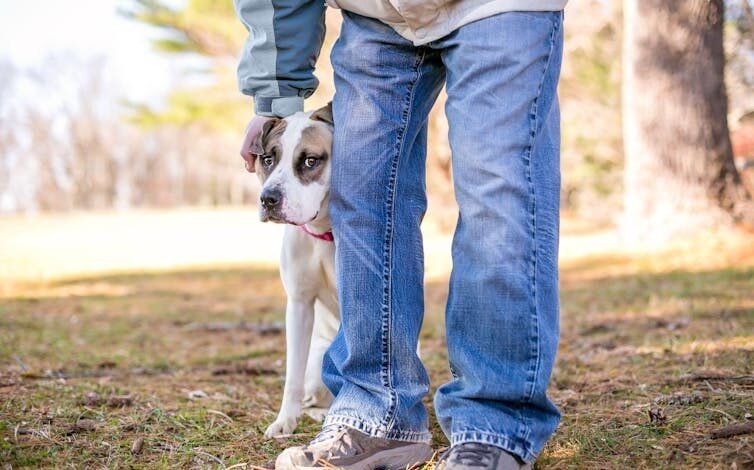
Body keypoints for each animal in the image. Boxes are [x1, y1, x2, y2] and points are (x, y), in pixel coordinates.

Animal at [247, 102, 338, 436]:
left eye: (311, 160)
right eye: (267, 159)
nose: (268, 199)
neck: (326, 233)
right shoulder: (299, 305)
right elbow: (292, 376)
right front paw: (285, 420)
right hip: (318, 363)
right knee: (314, 396)